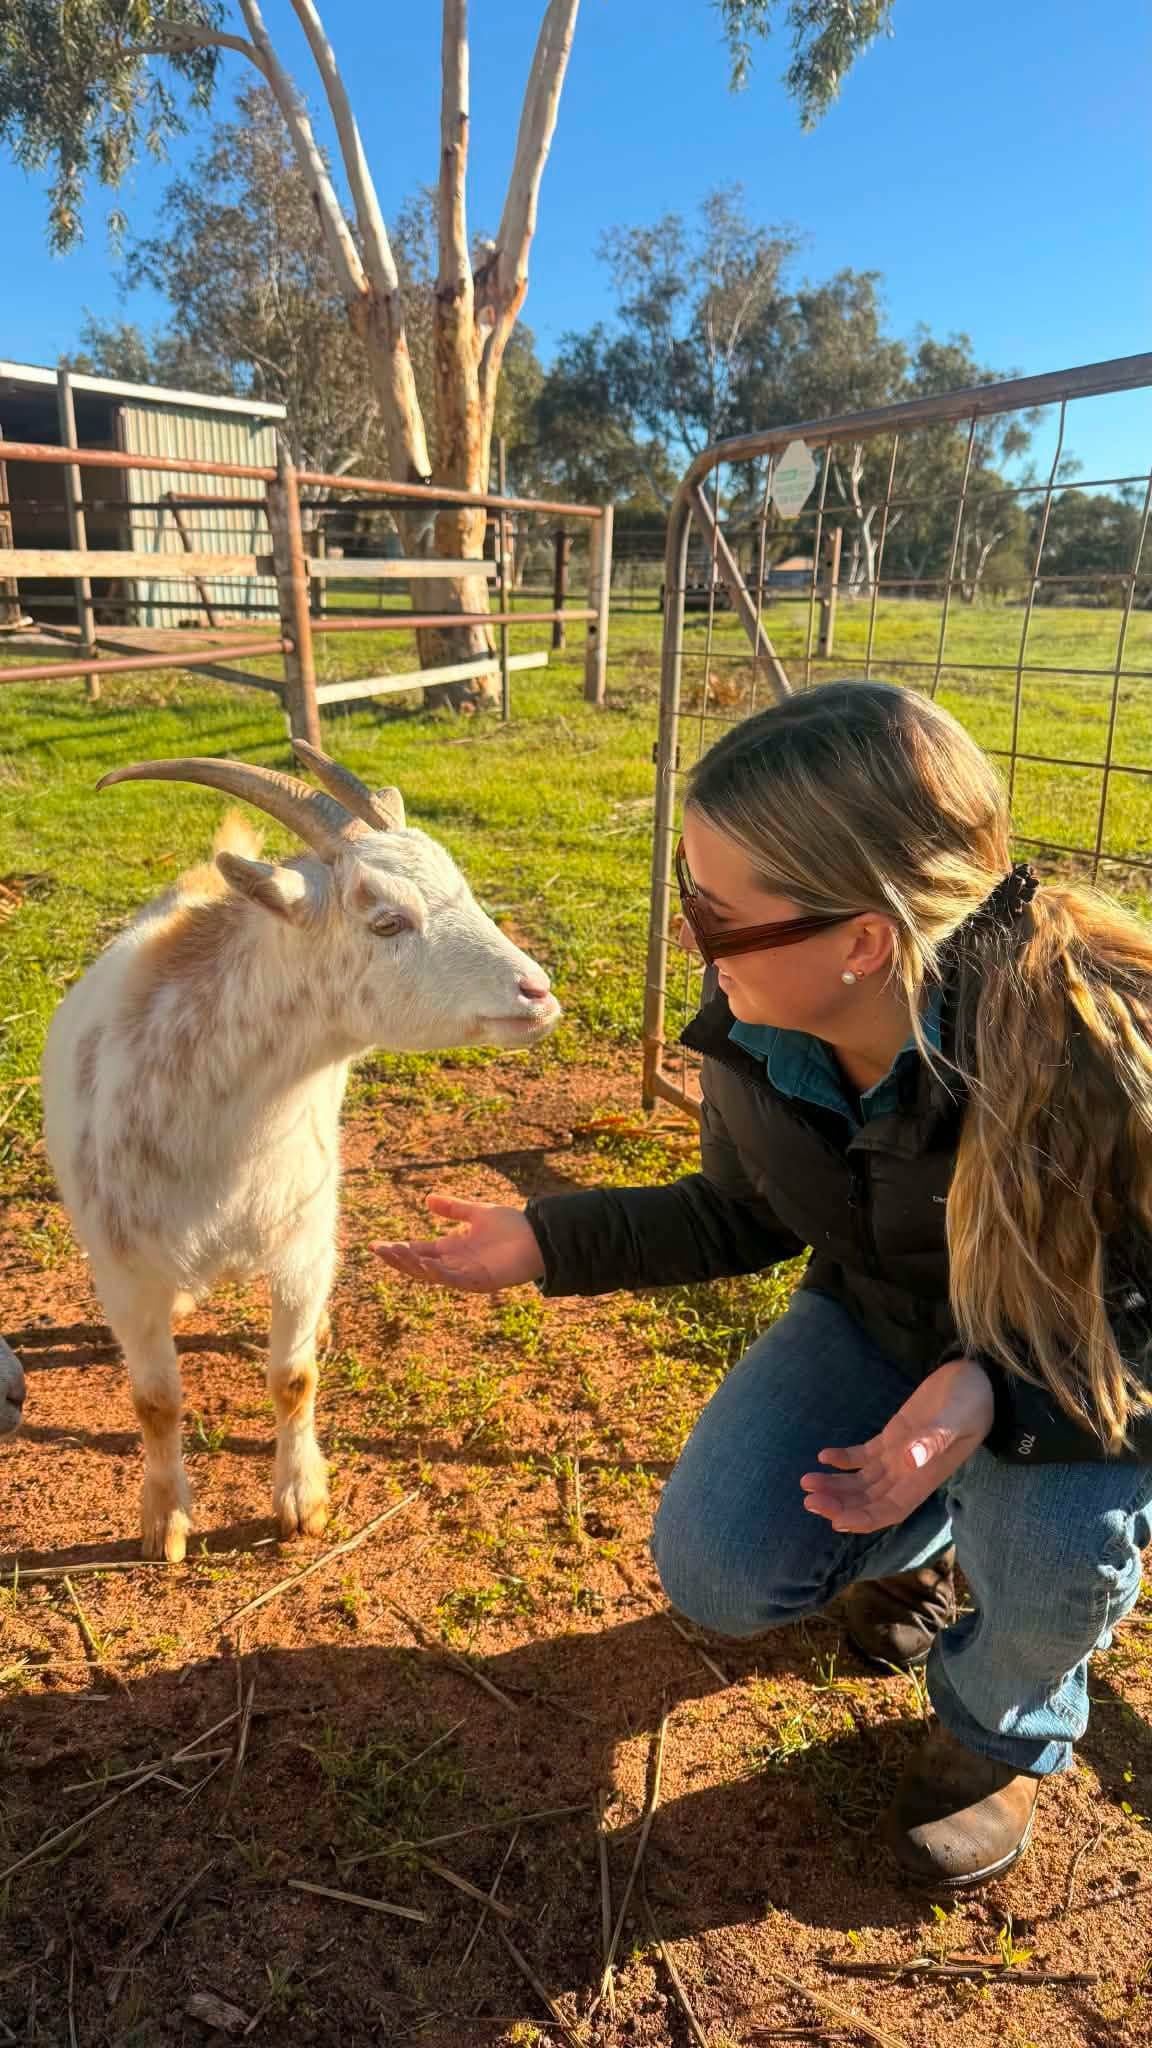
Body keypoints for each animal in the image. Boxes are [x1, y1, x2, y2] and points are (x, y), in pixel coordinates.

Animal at [41, 743, 560, 1561]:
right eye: (386, 921)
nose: (537, 993)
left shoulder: (300, 1246)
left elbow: (294, 1378)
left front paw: (301, 1501)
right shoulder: (123, 1272)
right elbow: (155, 1400)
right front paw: (165, 1522)